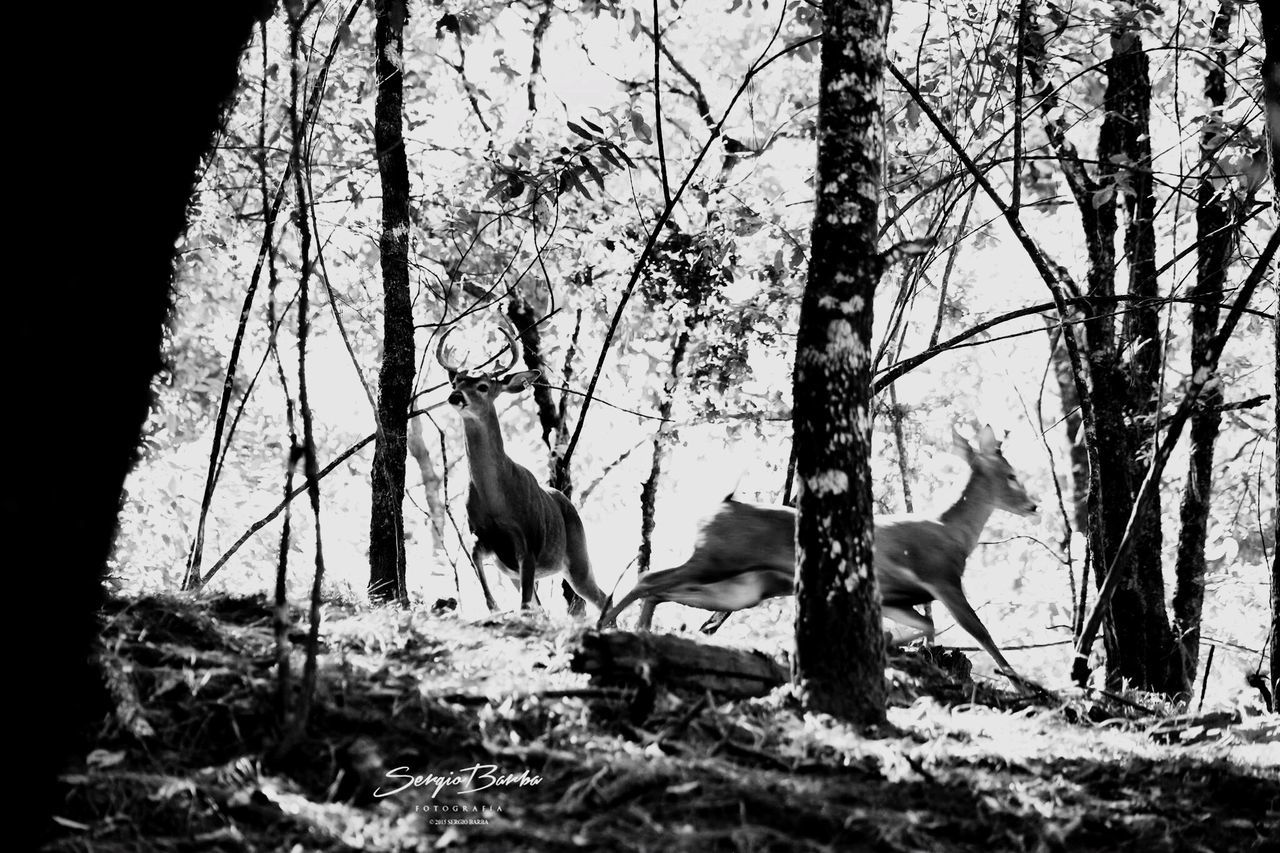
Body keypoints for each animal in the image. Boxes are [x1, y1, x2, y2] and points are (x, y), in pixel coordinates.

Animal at [437, 318, 611, 617]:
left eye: (483, 386)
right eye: (458, 380)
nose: (455, 395)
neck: (496, 500)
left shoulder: (528, 544)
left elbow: (525, 604)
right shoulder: (482, 538)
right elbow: (480, 571)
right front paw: (494, 608)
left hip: (577, 556)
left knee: (601, 596)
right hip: (520, 572)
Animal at [601, 425, 1039, 676]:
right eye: (1011, 475)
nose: (1034, 506)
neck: (952, 532)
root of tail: (723, 505)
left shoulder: (899, 596)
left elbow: (927, 627)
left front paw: (891, 644)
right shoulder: (942, 576)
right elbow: (977, 629)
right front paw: (1017, 678)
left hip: (741, 587)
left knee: (662, 588)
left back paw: (636, 630)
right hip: (717, 558)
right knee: (649, 577)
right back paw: (610, 625)